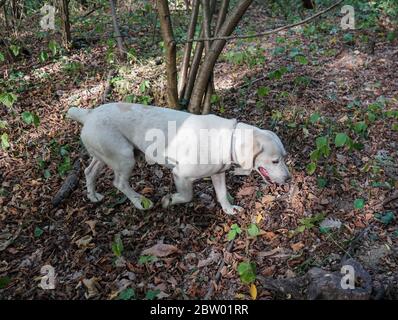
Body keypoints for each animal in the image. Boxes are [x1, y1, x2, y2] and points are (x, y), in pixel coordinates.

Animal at [67, 102, 292, 215]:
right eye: (275, 161)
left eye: (284, 157)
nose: (289, 179)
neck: (227, 139)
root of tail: (88, 114)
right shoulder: (180, 174)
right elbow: (187, 196)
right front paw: (169, 200)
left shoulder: (218, 174)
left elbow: (221, 194)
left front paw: (229, 210)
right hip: (125, 158)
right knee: (120, 183)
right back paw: (140, 202)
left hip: (106, 155)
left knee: (89, 171)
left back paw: (93, 196)